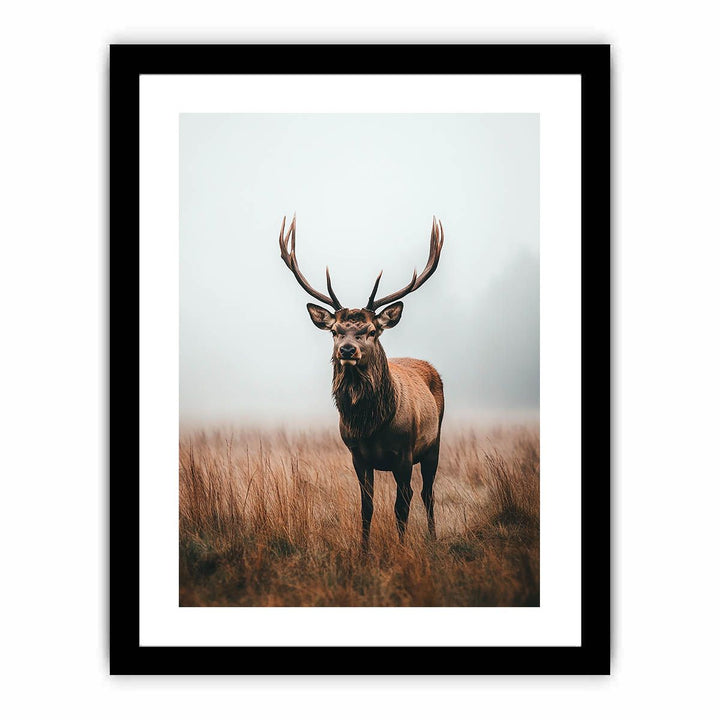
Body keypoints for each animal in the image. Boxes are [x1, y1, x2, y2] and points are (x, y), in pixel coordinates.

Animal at [278, 214, 445, 552]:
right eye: (335, 331)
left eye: (370, 331)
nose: (347, 350)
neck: (371, 426)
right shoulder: (357, 455)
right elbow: (366, 506)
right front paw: (364, 550)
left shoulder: (403, 455)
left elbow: (401, 505)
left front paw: (401, 549)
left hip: (434, 443)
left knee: (427, 494)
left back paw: (433, 538)